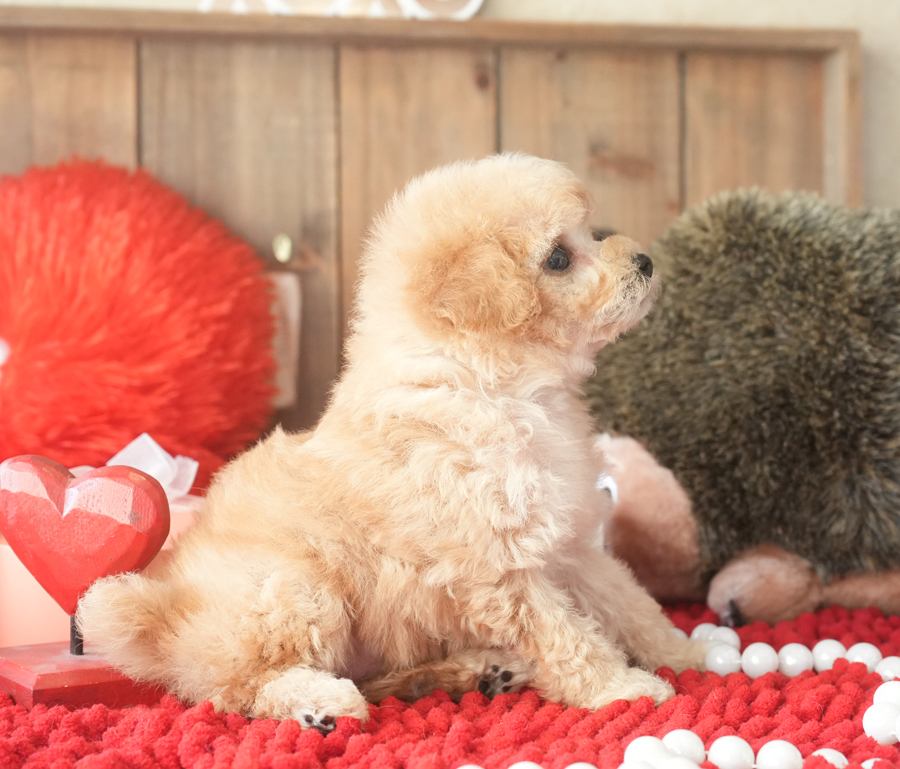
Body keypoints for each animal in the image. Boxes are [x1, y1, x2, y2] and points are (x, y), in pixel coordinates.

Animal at [77, 153, 707, 732]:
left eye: (588, 233)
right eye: (558, 257)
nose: (646, 262)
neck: (502, 388)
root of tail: (165, 616)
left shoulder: (570, 544)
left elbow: (629, 603)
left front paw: (687, 652)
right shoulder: (497, 568)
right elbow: (566, 635)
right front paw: (622, 688)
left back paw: (477, 671)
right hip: (292, 590)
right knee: (243, 688)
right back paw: (320, 705)